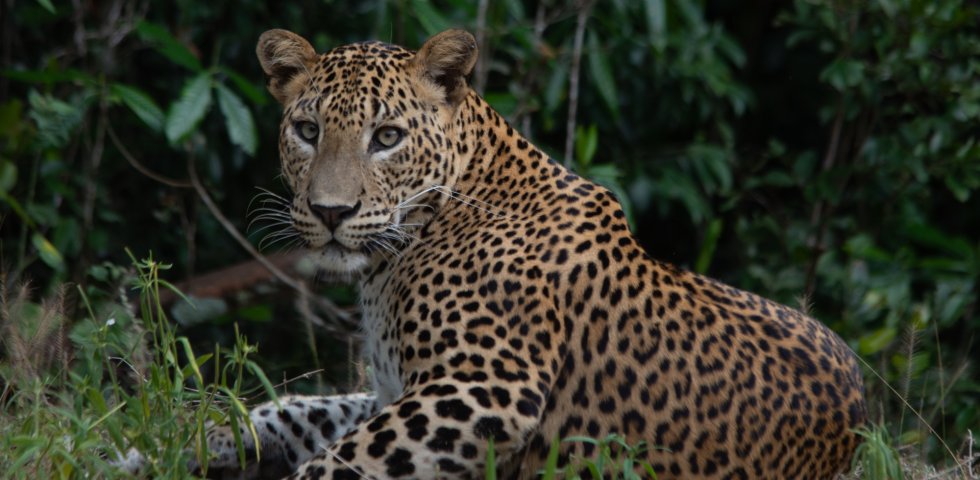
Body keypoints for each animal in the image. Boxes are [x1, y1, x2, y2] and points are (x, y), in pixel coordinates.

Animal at [196, 28, 869, 480]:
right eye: (307, 131)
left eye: (386, 138)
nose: (331, 212)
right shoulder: (392, 389)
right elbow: (300, 411)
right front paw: (203, 439)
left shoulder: (486, 385)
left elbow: (339, 462)